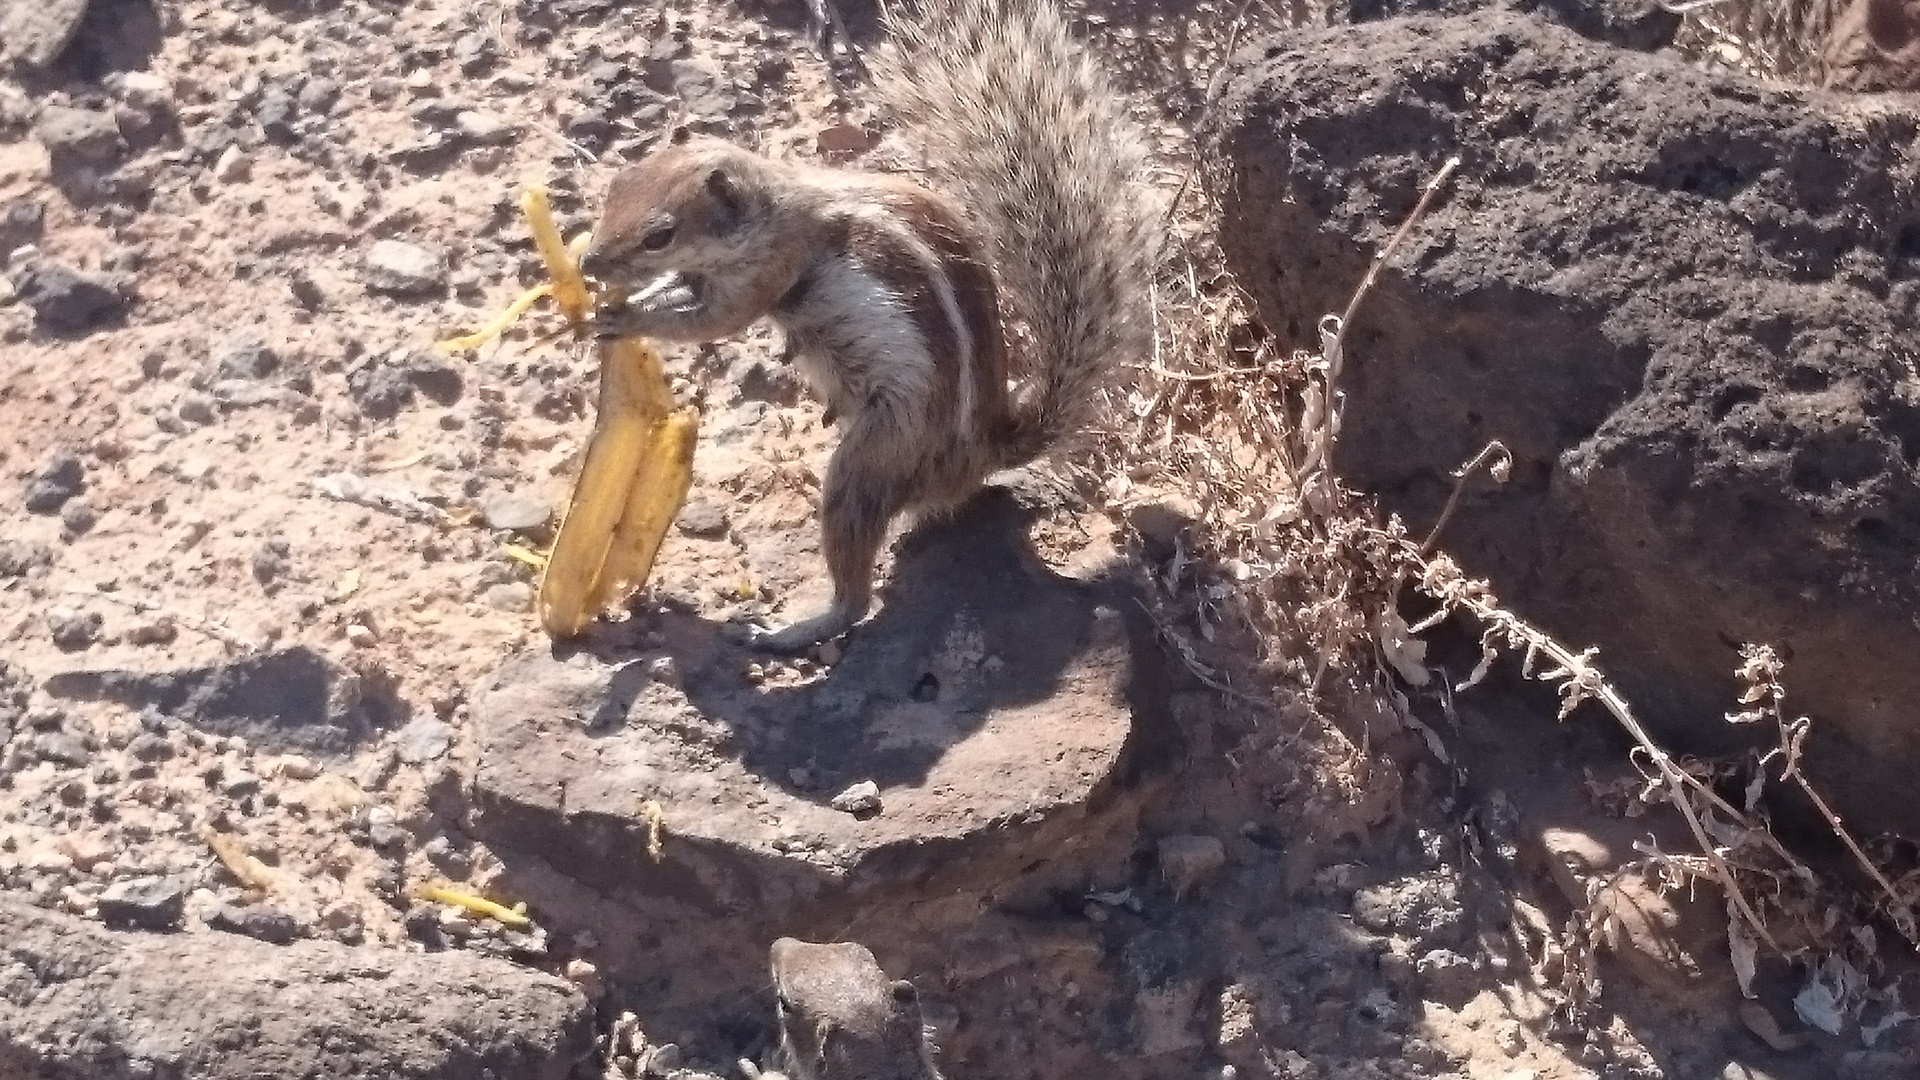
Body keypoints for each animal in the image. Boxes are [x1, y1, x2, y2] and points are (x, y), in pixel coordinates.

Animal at [579, 0, 1152, 645]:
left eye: (661, 234)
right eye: (617, 186)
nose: (589, 262)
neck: (772, 208)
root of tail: (983, 454)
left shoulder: (765, 274)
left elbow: (711, 322)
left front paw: (622, 316)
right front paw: (607, 305)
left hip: (879, 455)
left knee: (854, 591)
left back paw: (785, 631)